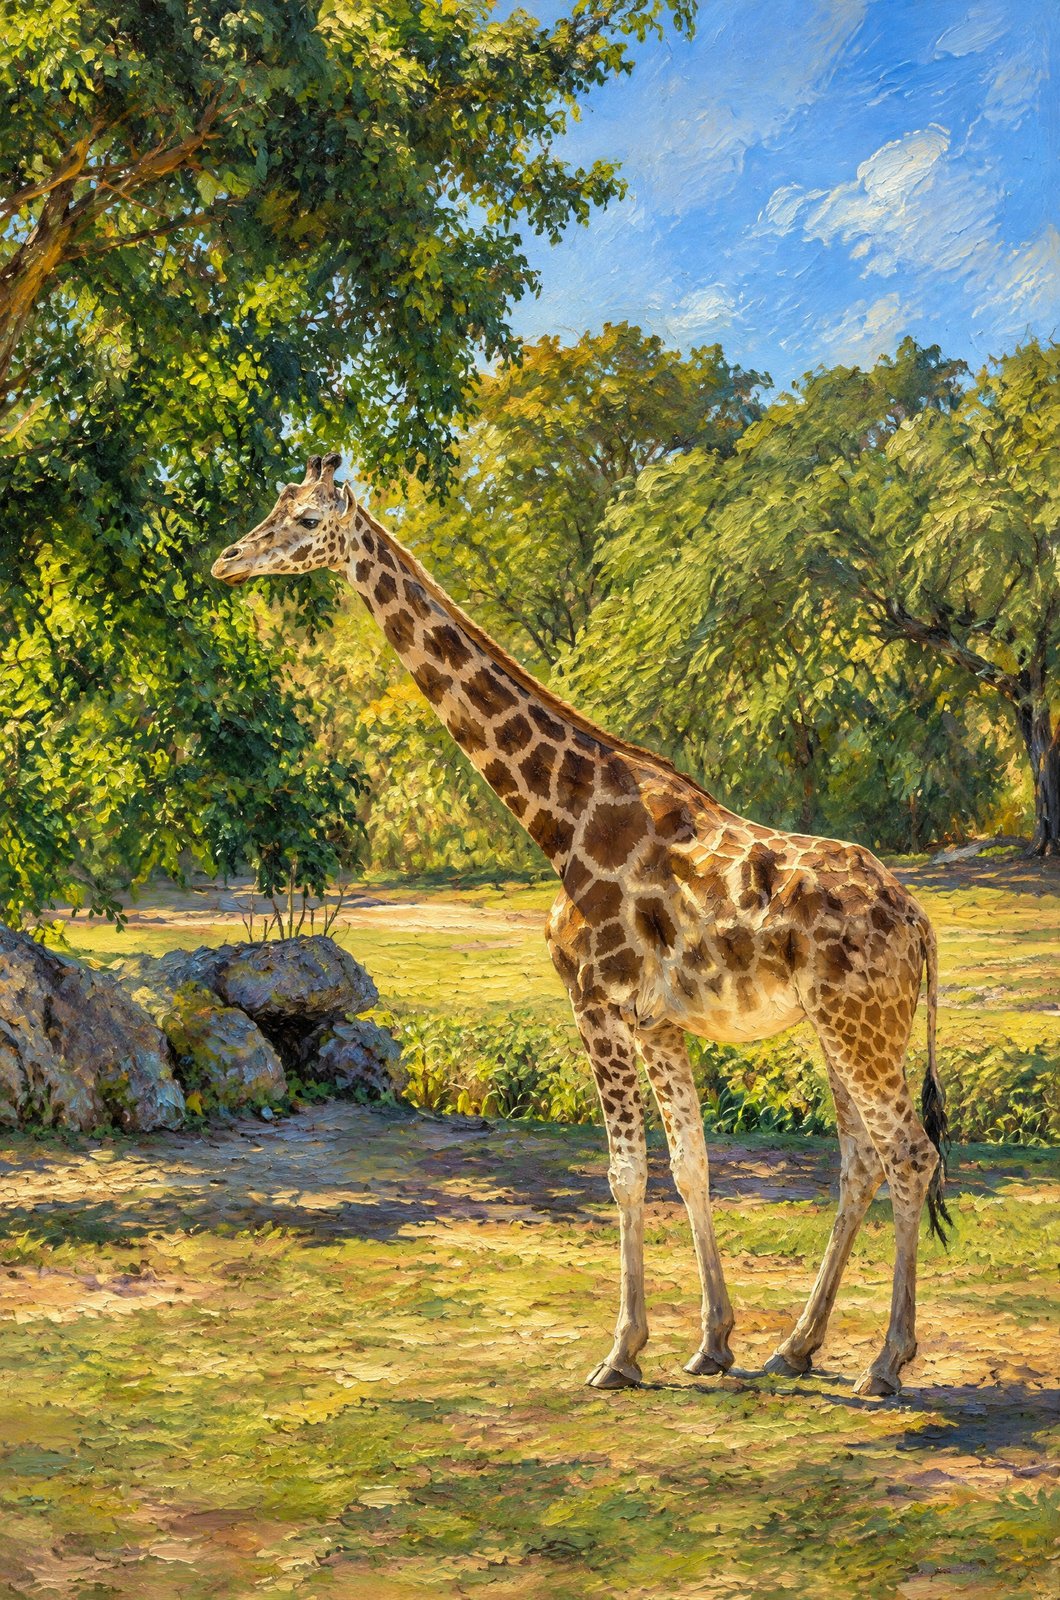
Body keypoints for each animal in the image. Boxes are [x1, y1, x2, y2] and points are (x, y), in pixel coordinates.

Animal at [213, 452, 951, 1398]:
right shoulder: (658, 1021)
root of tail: (919, 919)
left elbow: (626, 1173)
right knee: (862, 1158)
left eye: (306, 521)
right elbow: (690, 1164)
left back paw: (886, 1364)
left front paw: (621, 1351)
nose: (228, 560)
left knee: (910, 1156)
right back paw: (798, 1346)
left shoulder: (596, 1003)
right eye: (276, 505)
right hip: (843, 1026)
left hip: (863, 1023)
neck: (562, 818)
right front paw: (712, 1343)